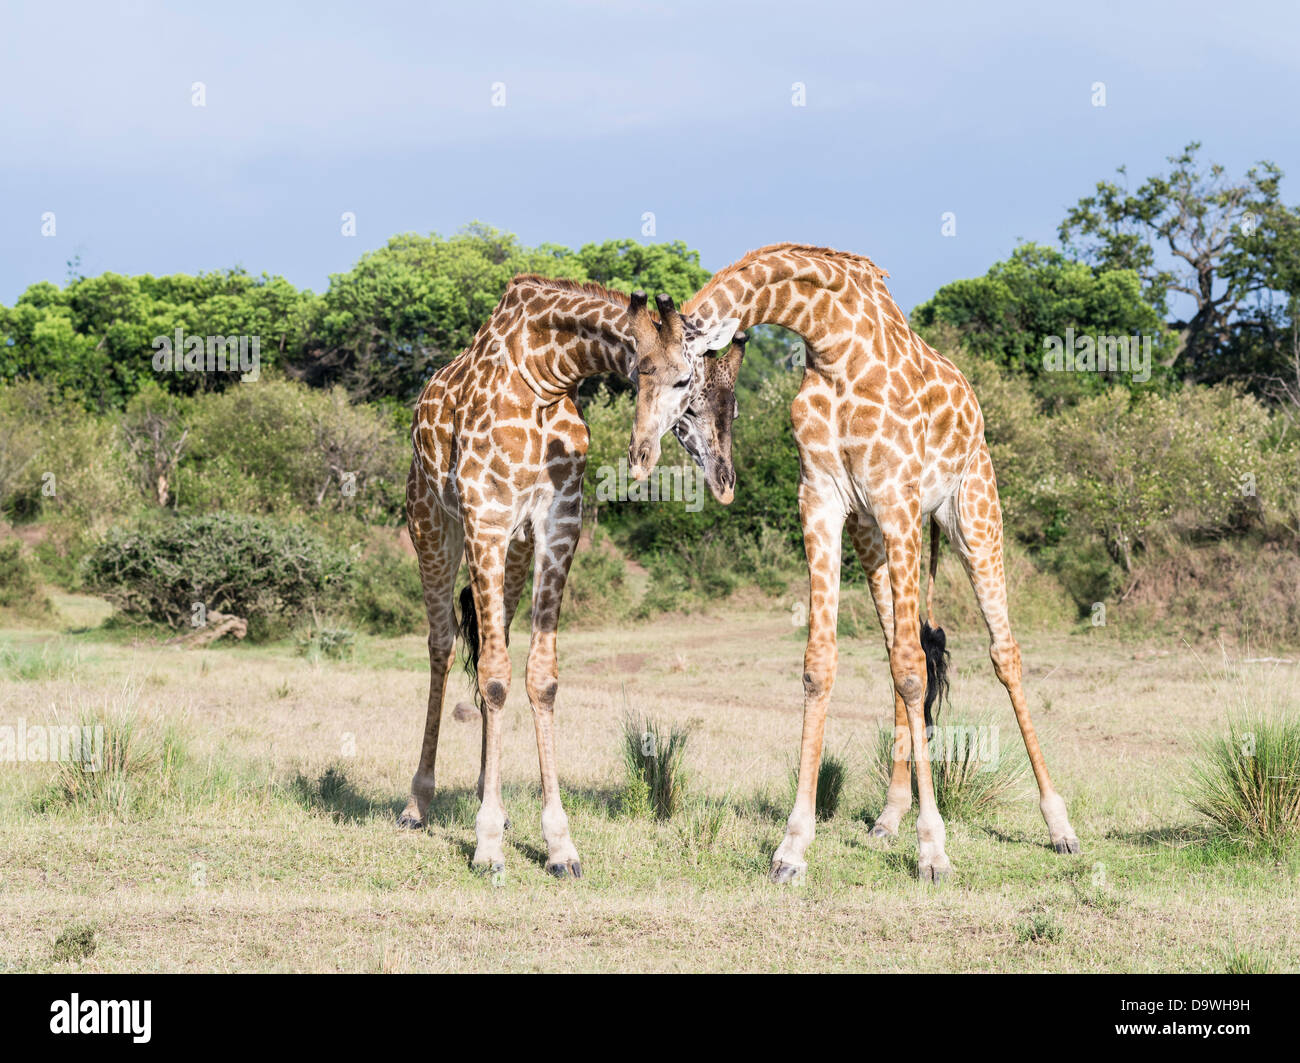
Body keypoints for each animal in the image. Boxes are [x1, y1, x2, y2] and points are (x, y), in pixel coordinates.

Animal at [397, 273, 741, 877]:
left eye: (731, 406)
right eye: (683, 388)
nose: (641, 454)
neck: (544, 375)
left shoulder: (557, 524)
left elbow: (538, 677)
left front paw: (557, 844)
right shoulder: (486, 517)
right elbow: (494, 676)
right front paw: (488, 847)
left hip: (513, 550)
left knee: (490, 644)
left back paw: (494, 805)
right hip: (432, 524)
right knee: (442, 644)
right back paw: (418, 804)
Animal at [656, 243, 1080, 882]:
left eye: (695, 395)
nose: (723, 481)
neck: (831, 344)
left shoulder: (896, 498)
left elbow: (914, 669)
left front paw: (933, 851)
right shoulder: (822, 501)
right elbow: (824, 664)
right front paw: (792, 847)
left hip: (972, 513)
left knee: (1001, 655)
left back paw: (1059, 826)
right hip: (872, 536)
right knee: (897, 653)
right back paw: (888, 816)